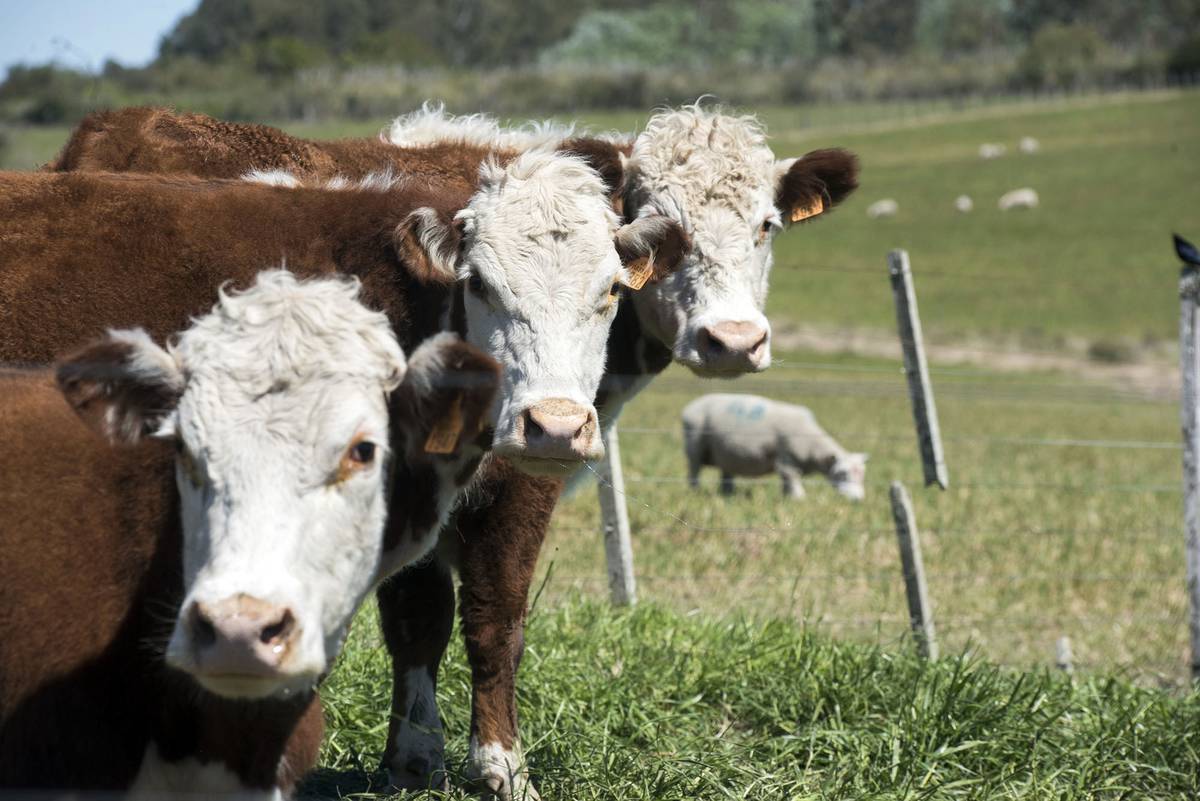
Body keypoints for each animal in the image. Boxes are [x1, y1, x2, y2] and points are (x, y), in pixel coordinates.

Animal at [681, 393, 868, 501]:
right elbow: (791, 478)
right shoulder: (787, 458)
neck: (813, 446)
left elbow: (786, 482)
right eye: (842, 473)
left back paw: (728, 495)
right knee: (694, 471)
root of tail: (690, 406)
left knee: (726, 474)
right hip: (694, 445)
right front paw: (799, 499)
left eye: (862, 474)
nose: (858, 499)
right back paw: (695, 492)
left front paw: (787, 498)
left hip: (725, 451)